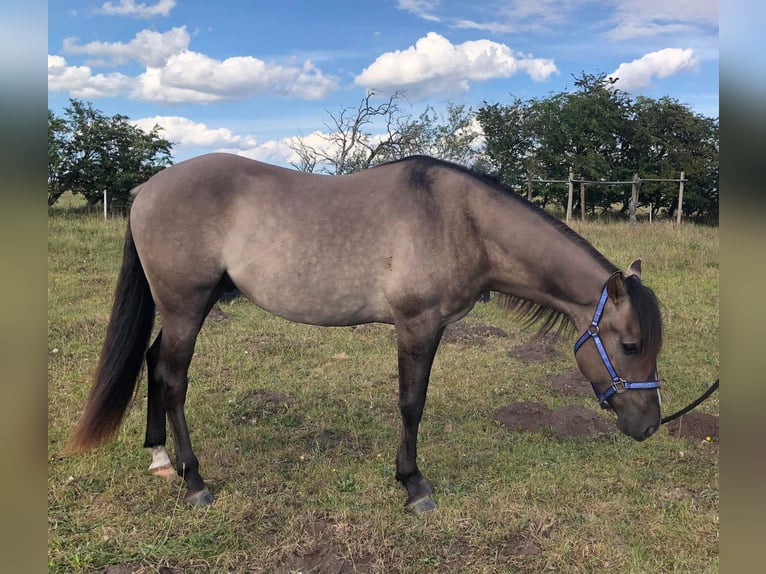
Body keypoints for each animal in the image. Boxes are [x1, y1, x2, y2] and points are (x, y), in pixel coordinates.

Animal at [67, 153, 663, 514]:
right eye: (630, 345)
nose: (649, 426)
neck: (461, 220)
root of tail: (148, 188)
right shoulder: (417, 326)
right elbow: (411, 403)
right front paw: (413, 485)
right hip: (186, 307)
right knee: (172, 378)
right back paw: (194, 480)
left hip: (189, 306)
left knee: (153, 361)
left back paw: (159, 458)